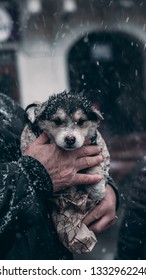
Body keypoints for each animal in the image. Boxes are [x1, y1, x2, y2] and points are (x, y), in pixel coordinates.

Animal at [20, 91, 109, 254]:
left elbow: (94, 163)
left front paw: (97, 188)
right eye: (57, 121)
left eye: (81, 121)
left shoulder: (93, 145)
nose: (70, 139)